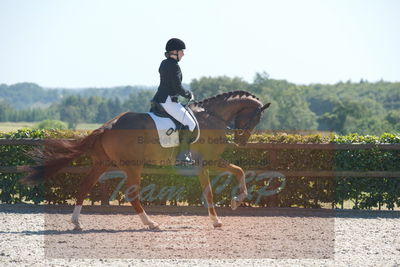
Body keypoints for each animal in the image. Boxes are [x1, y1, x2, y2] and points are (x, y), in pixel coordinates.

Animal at [18, 91, 268, 231]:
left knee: (84, 186)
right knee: (132, 194)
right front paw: (219, 218)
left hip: (102, 164)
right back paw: (150, 223)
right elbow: (213, 190)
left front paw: (235, 201)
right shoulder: (206, 162)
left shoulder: (212, 161)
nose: (242, 141)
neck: (212, 117)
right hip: (132, 166)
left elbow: (239, 171)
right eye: (256, 119)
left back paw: (77, 222)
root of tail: (108, 126)